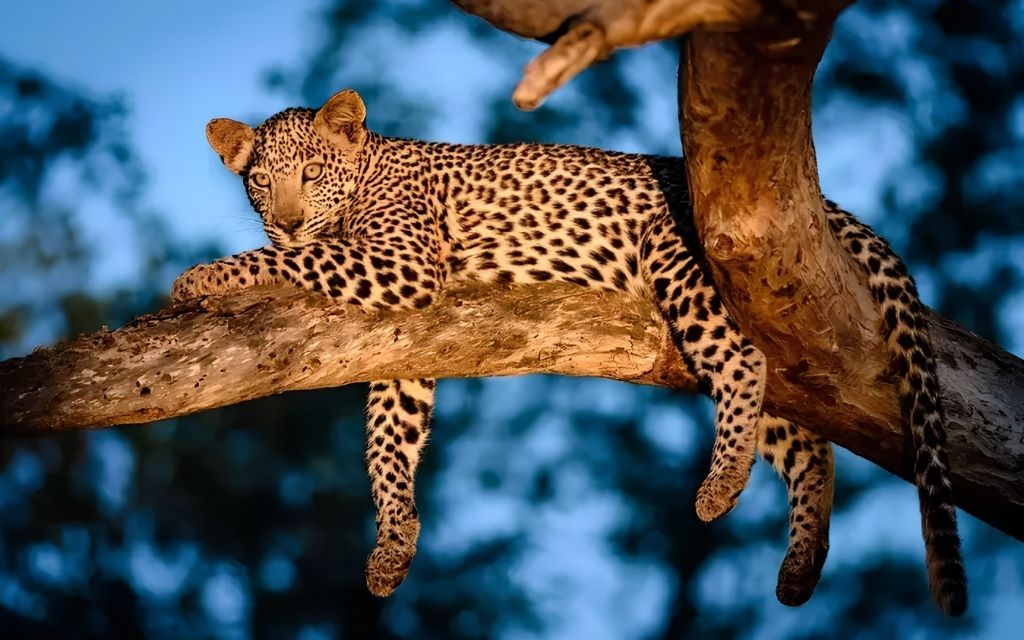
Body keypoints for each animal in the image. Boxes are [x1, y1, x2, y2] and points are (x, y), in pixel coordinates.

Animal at [172, 88, 964, 615]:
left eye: (311, 173)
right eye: (261, 182)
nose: (286, 219)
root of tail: (823, 205)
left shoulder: (401, 261)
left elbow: (293, 262)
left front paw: (203, 276)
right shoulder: (403, 350)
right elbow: (387, 443)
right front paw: (394, 544)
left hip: (679, 260)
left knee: (744, 363)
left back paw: (719, 486)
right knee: (809, 443)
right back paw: (801, 562)